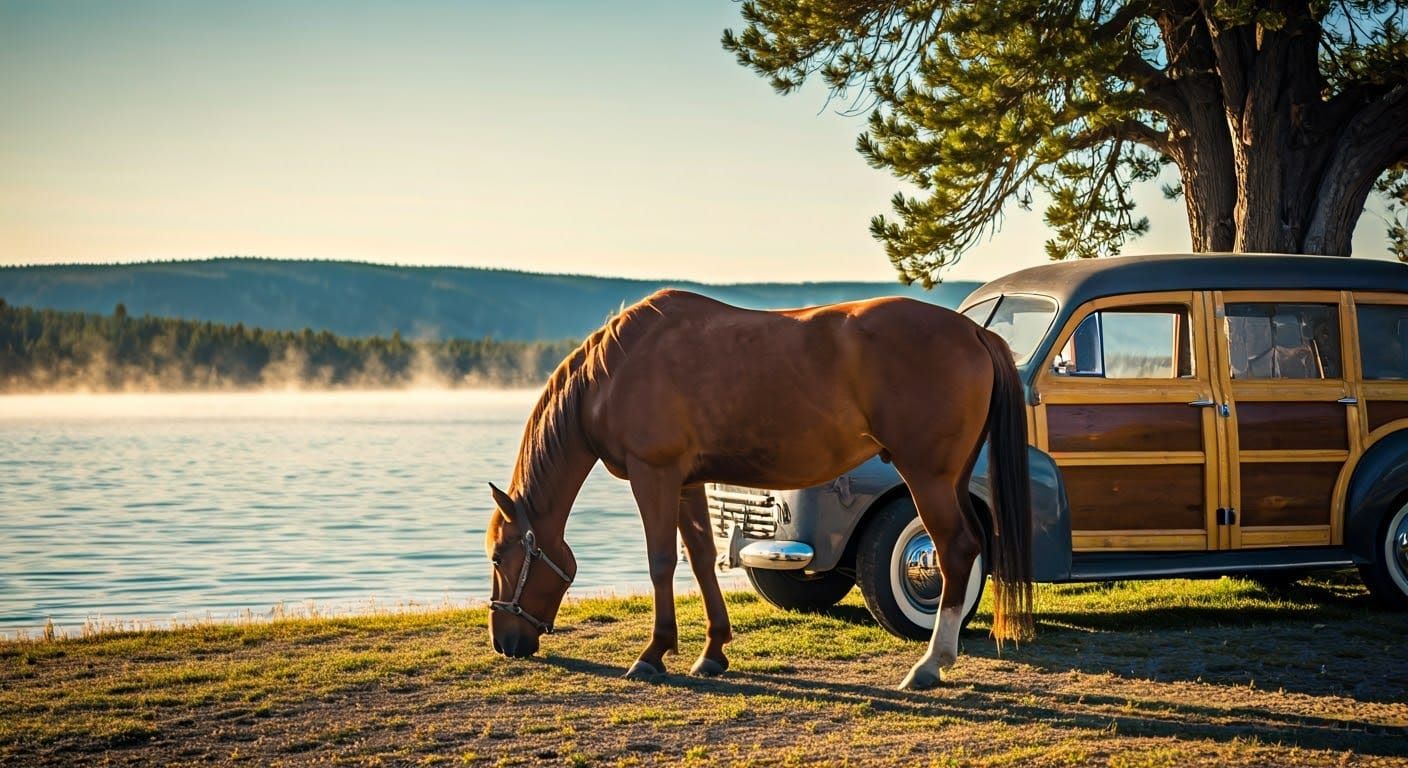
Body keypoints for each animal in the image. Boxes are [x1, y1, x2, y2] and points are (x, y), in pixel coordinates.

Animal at [485, 289, 1033, 690]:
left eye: (498, 557)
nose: (504, 641)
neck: (615, 372)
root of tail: (974, 331)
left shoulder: (654, 475)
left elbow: (661, 562)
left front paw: (653, 653)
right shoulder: (688, 482)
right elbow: (701, 559)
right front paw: (712, 651)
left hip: (928, 479)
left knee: (953, 551)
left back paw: (931, 663)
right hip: (952, 479)